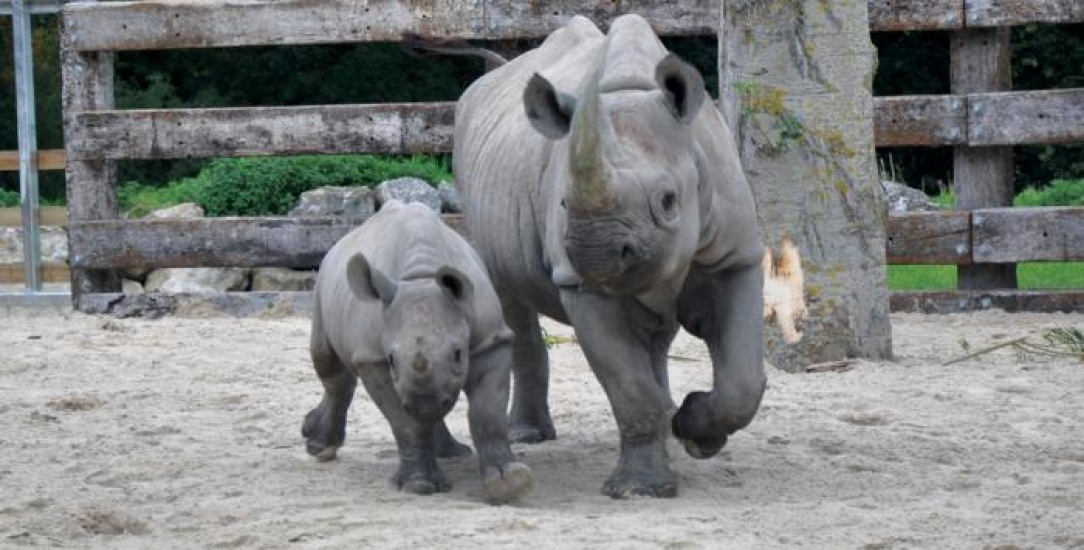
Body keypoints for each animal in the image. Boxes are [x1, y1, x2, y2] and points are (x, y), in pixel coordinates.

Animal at [302, 200, 532, 503]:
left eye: (458, 354)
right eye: (391, 360)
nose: (424, 405)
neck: (421, 276)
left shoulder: (490, 340)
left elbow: (488, 413)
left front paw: (510, 482)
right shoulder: (373, 358)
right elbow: (406, 423)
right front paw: (419, 485)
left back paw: (451, 453)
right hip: (321, 289)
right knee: (328, 365)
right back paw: (320, 448)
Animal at [407, 14, 765, 498]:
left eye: (669, 201)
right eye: (563, 203)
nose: (598, 256)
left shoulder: (734, 255)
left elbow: (743, 383)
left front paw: (694, 433)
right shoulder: (581, 286)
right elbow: (629, 388)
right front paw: (640, 489)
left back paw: (671, 419)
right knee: (506, 297)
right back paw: (530, 435)